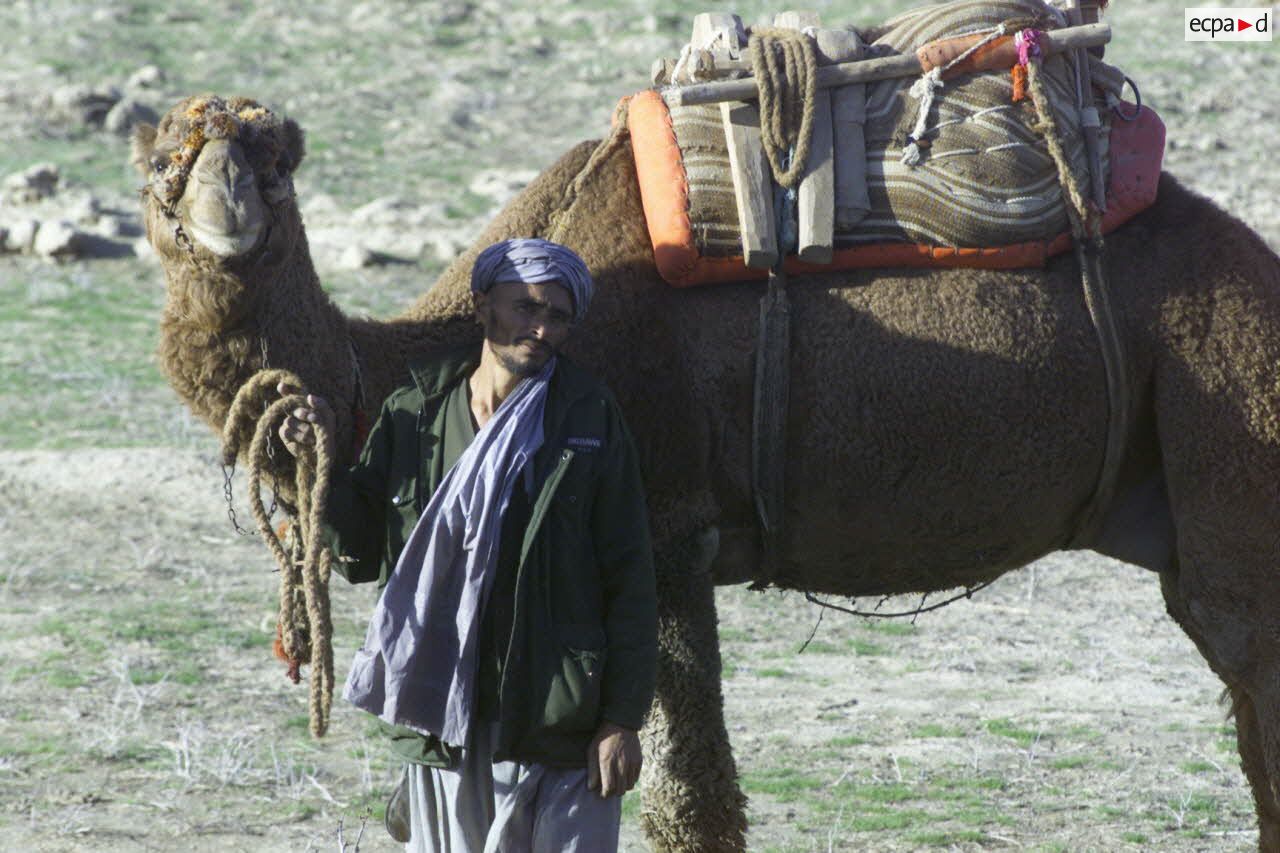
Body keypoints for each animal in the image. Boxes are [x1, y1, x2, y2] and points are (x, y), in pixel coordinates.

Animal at [132, 94, 1280, 850]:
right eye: (164, 167)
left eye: (271, 166)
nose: (228, 219)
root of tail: (1257, 267)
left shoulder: (662, 522)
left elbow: (685, 795)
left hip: (1228, 420)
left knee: (1248, 664)